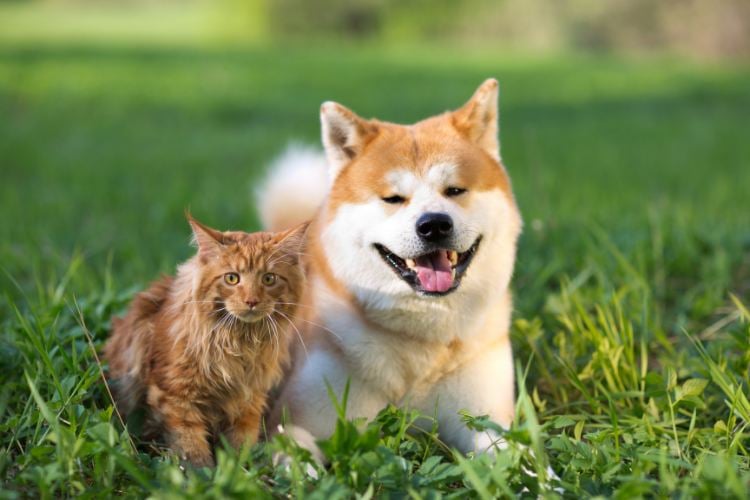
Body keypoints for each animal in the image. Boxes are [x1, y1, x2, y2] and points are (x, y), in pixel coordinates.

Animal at [103, 217, 308, 466]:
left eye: (269, 279)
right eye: (232, 278)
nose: (251, 301)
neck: (238, 342)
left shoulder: (250, 400)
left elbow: (241, 445)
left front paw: (239, 469)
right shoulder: (175, 395)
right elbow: (190, 445)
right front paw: (202, 470)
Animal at [258, 79, 524, 458]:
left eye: (455, 190)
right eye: (393, 198)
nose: (434, 225)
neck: (421, 338)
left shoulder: (488, 421)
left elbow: (523, 456)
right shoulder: (295, 423)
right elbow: (297, 456)